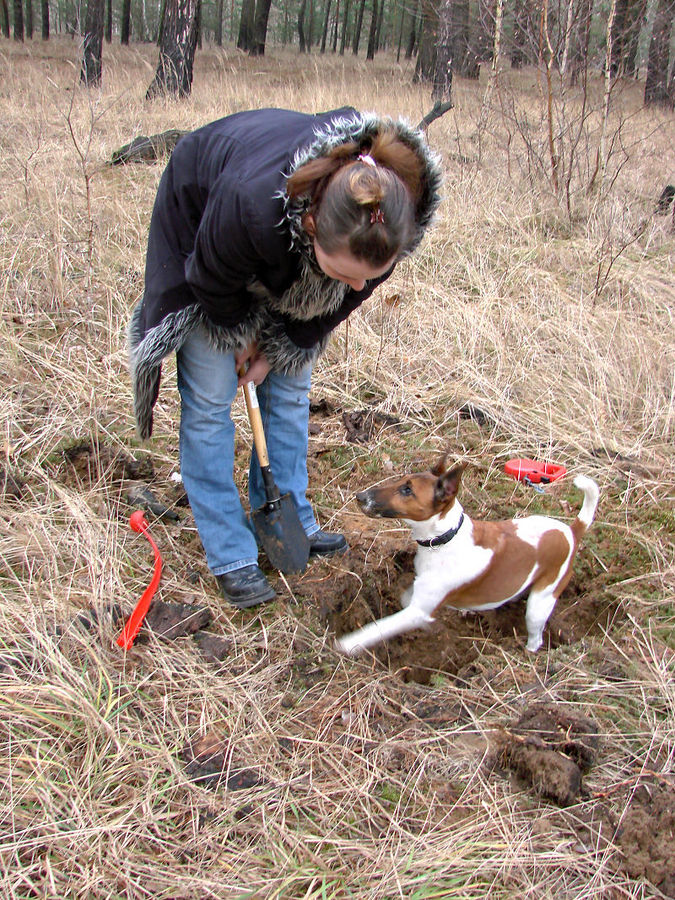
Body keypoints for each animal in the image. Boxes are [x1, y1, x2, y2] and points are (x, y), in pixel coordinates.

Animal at [336, 460, 600, 656]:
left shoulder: (418, 610)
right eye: (400, 481)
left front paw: (350, 643)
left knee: (536, 637)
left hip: (540, 603)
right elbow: (406, 598)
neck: (445, 537)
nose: (360, 497)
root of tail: (571, 531)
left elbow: (380, 627)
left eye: (407, 490)